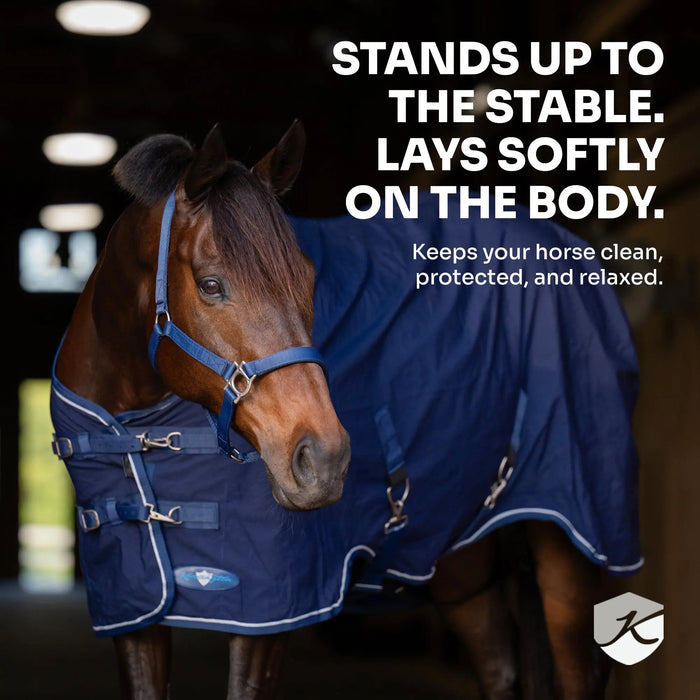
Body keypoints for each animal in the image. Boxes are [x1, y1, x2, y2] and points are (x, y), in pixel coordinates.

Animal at [50, 121, 640, 699]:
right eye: (210, 284)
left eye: (308, 278)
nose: (324, 459)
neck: (136, 431)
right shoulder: (134, 612)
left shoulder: (273, 611)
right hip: (462, 567)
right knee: (501, 670)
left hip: (572, 546)